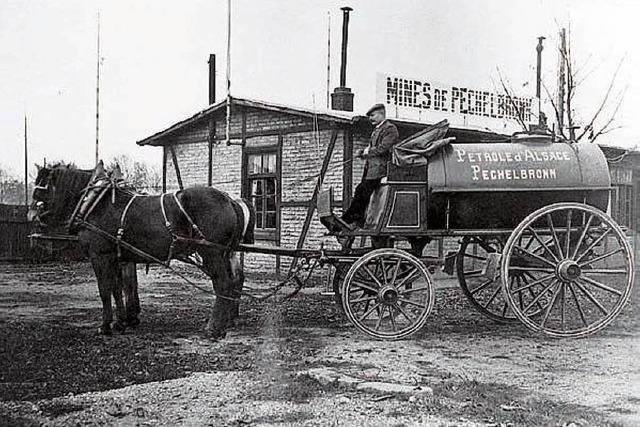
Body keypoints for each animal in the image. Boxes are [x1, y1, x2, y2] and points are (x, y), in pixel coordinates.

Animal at [29, 162, 255, 340]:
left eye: (40, 189)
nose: (31, 215)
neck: (94, 203)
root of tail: (229, 199)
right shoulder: (116, 257)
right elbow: (117, 289)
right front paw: (120, 323)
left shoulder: (99, 256)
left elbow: (105, 290)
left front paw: (105, 326)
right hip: (224, 253)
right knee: (233, 282)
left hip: (211, 253)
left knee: (223, 284)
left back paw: (214, 328)